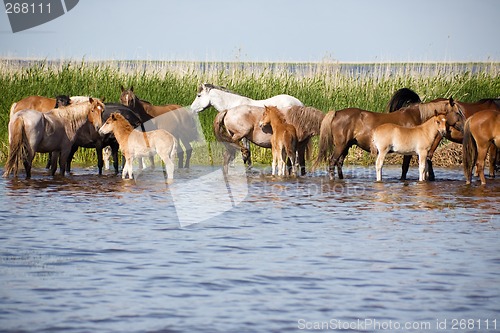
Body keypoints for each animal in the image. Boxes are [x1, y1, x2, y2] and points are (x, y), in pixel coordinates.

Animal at [316, 98, 460, 180]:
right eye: (458, 112)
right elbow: (405, 168)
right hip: (340, 145)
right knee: (332, 162)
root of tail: (337, 113)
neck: (415, 116)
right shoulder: (409, 152)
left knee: (339, 163)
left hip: (345, 146)